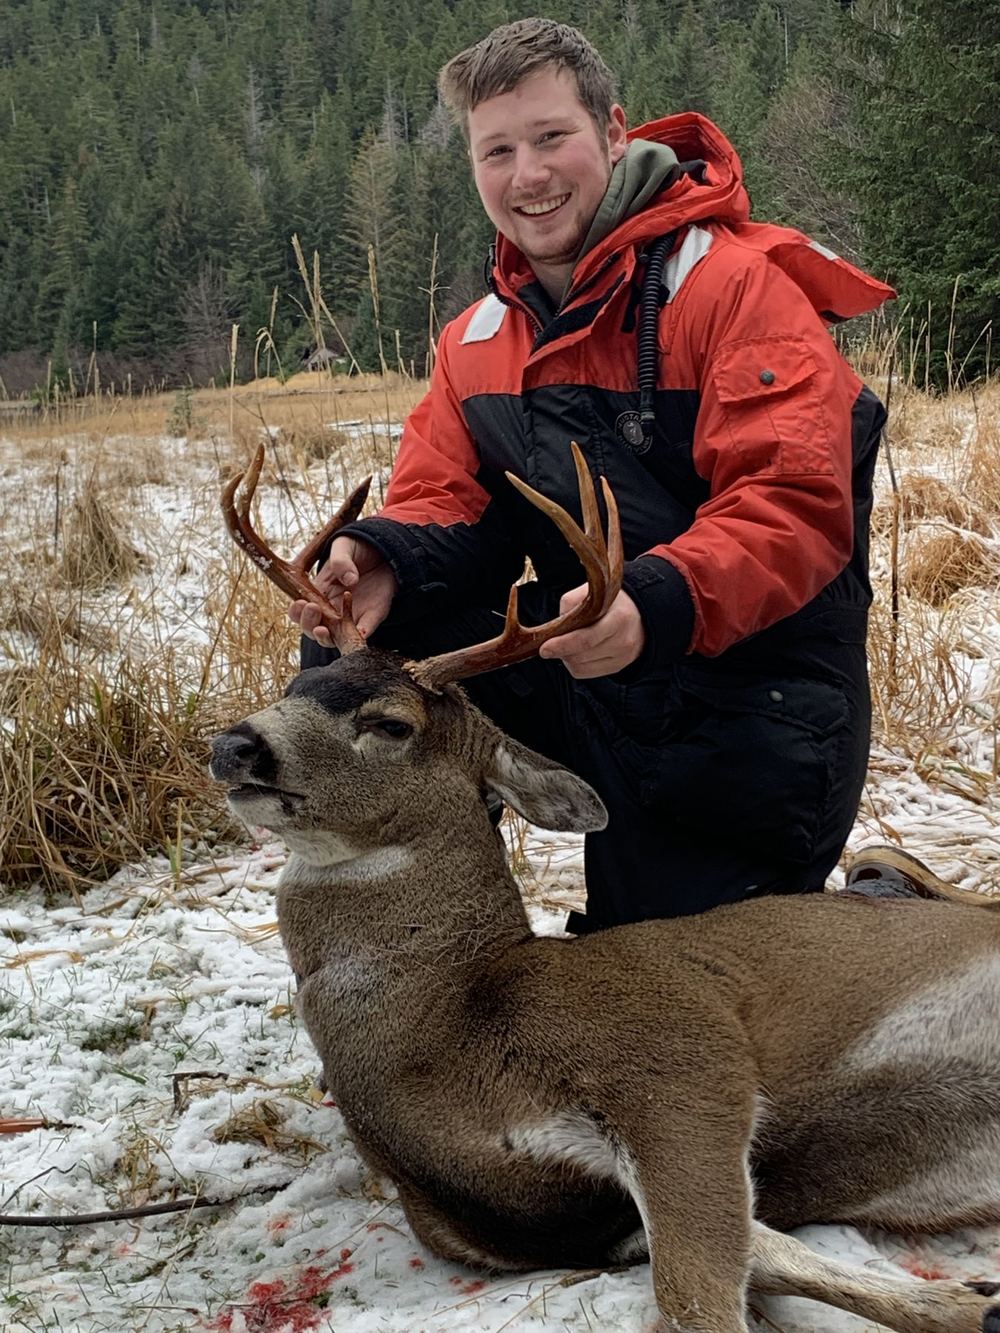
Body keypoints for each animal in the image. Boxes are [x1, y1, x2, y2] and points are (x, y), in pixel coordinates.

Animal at [210, 441, 1000, 1333]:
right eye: (293, 688)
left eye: (389, 722)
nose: (235, 744)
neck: (442, 1027)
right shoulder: (577, 1222)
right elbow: (762, 1251)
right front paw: (968, 1304)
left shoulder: (678, 1055)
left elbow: (695, 1294)